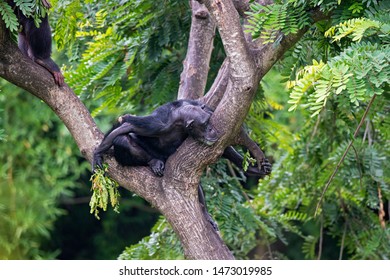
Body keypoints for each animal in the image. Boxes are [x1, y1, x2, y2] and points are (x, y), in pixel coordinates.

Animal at [93, 99, 272, 231]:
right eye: (205, 125)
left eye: (209, 122)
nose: (211, 129)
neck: (178, 120)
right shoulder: (155, 124)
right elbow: (126, 125)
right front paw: (96, 155)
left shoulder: (205, 109)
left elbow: (229, 139)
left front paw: (256, 156)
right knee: (122, 139)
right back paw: (154, 162)